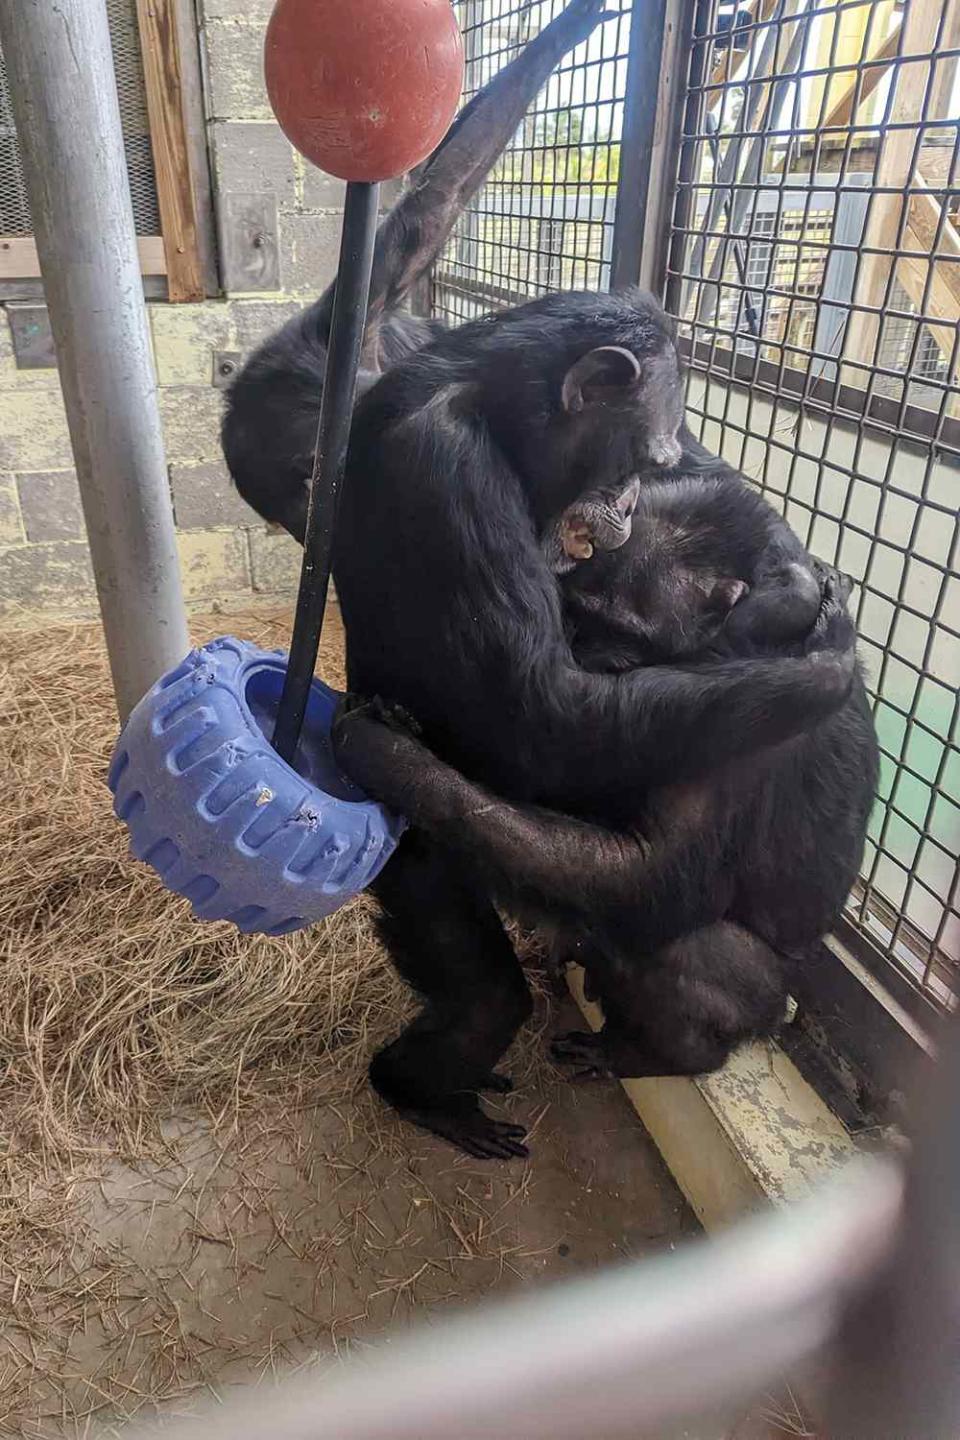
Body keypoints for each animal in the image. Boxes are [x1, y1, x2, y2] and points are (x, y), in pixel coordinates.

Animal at [333, 472, 880, 1088]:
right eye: (574, 611)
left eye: (624, 630)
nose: (581, 651)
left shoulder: (749, 738)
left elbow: (648, 871)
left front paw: (386, 755)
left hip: (756, 1002)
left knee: (681, 953)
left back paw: (649, 1055)